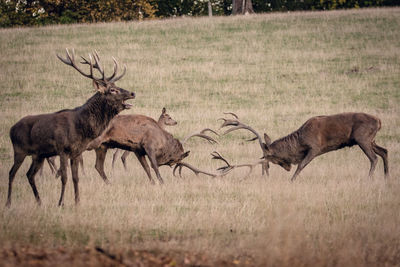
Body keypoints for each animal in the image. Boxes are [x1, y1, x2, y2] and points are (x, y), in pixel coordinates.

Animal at [6, 48, 134, 207]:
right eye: (112, 90)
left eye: (117, 87)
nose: (132, 93)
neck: (80, 128)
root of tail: (11, 129)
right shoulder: (62, 149)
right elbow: (64, 177)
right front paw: (60, 203)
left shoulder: (76, 152)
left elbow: (75, 177)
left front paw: (77, 201)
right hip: (19, 150)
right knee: (12, 173)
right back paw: (8, 202)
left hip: (38, 155)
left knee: (29, 175)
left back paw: (39, 201)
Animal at [87, 112, 217, 184]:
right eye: (176, 159)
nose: (172, 164)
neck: (162, 141)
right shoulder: (148, 146)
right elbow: (153, 166)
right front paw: (162, 181)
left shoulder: (137, 150)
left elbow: (146, 168)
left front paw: (153, 182)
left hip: (102, 146)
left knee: (98, 166)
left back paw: (108, 182)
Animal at [220, 112, 390, 181]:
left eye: (269, 156)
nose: (287, 168)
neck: (299, 142)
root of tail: (380, 121)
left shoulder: (315, 147)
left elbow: (301, 165)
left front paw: (292, 180)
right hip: (370, 140)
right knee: (384, 151)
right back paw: (386, 176)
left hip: (362, 138)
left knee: (374, 158)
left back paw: (369, 178)